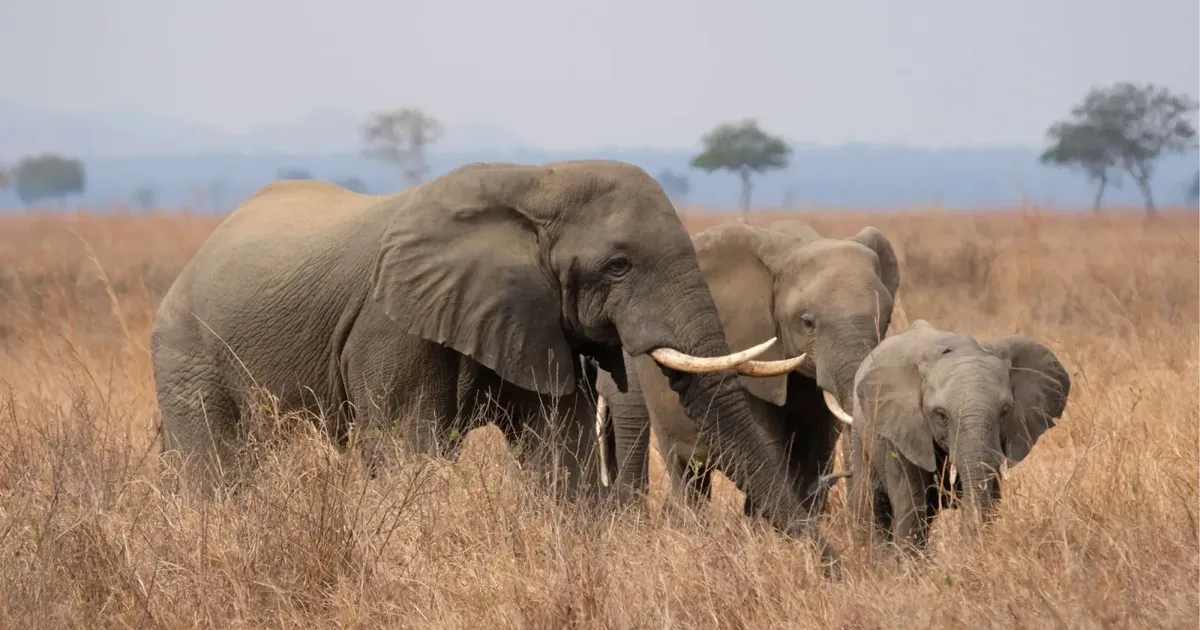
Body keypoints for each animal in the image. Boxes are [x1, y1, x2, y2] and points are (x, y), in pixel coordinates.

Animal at [150, 159, 843, 557]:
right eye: (618, 265)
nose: (829, 562)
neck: (539, 182)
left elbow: (556, 447)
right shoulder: (392, 322)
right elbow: (408, 445)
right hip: (185, 354)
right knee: (219, 464)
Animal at [843, 319, 1071, 553]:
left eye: (1005, 411)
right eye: (941, 415)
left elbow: (991, 498)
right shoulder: (901, 429)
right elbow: (911, 504)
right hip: (859, 435)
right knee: (871, 506)